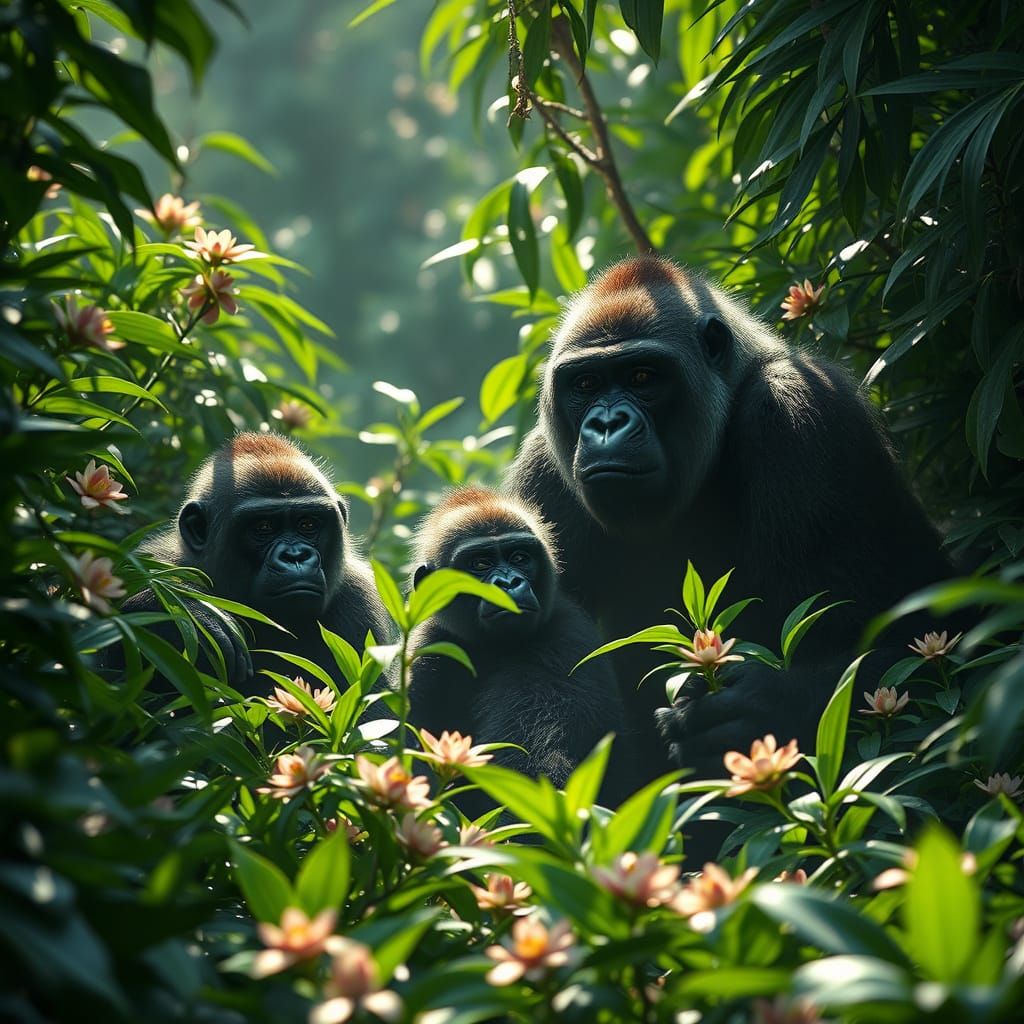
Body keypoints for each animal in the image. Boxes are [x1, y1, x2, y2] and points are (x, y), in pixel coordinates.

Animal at [505, 255, 954, 783]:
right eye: (586, 384)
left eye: (643, 377)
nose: (606, 424)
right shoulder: (540, 476)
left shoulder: (800, 413)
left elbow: (901, 651)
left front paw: (766, 707)